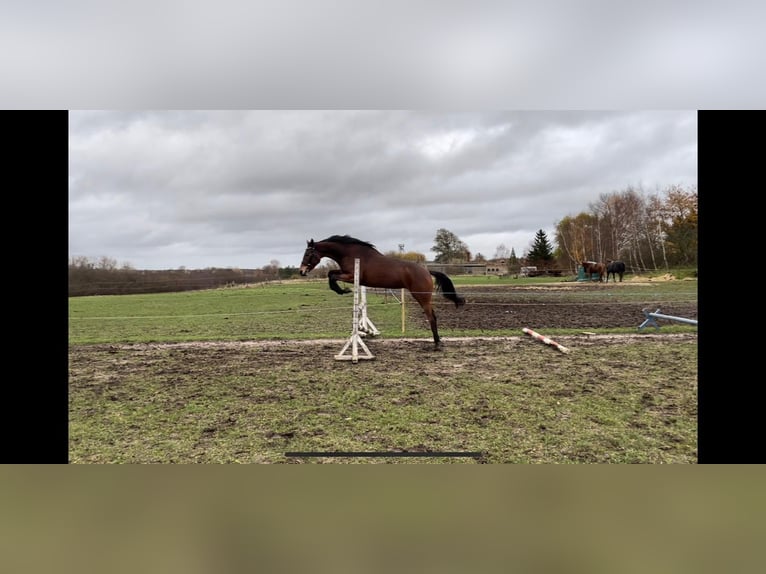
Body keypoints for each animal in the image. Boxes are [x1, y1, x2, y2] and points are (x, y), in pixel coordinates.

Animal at [299, 235, 465, 348]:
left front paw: (343, 290)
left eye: (307, 254)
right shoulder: (346, 273)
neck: (350, 253)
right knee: (433, 316)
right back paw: (438, 341)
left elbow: (332, 276)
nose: (301, 271)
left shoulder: (351, 276)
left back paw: (437, 344)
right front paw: (343, 291)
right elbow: (330, 273)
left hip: (421, 297)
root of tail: (426, 271)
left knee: (431, 317)